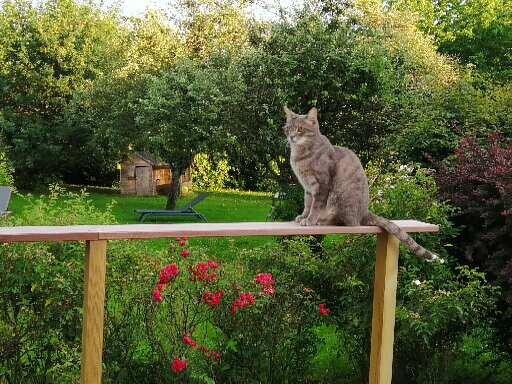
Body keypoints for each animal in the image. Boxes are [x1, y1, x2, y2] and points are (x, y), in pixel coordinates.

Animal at [284, 106, 440, 260]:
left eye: (300, 129)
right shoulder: (308, 188)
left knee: (346, 222)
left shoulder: (322, 184)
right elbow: (307, 204)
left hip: (339, 200)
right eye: (288, 128)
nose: (291, 137)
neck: (301, 154)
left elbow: (315, 206)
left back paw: (323, 221)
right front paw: (303, 216)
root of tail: (365, 212)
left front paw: (310, 220)